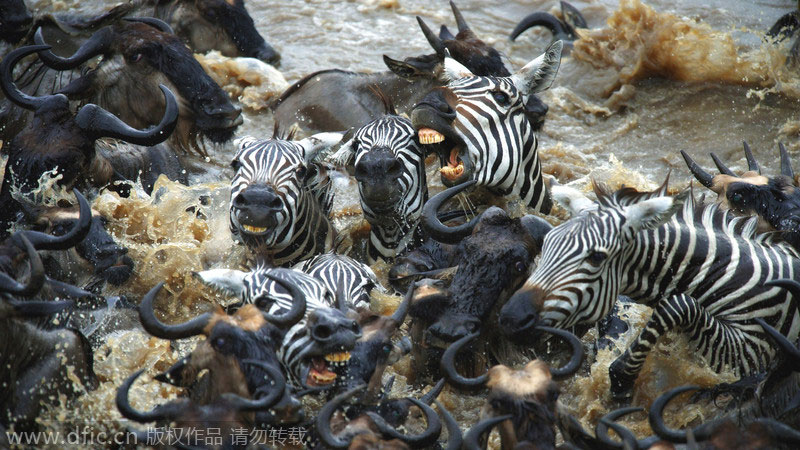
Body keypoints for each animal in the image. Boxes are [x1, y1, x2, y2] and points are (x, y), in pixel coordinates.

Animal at [496, 181, 800, 400]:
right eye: (547, 242)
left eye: (596, 257)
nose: (511, 318)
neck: (730, 276)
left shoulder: (749, 352)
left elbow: (676, 304)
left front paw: (622, 378)